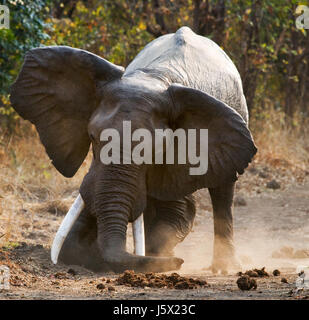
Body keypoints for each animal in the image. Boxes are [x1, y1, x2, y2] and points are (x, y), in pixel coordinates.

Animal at [10, 26, 255, 274]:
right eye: (92, 137)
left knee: (223, 192)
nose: (180, 262)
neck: (154, 76)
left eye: (156, 150)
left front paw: (160, 258)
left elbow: (177, 212)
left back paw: (224, 268)